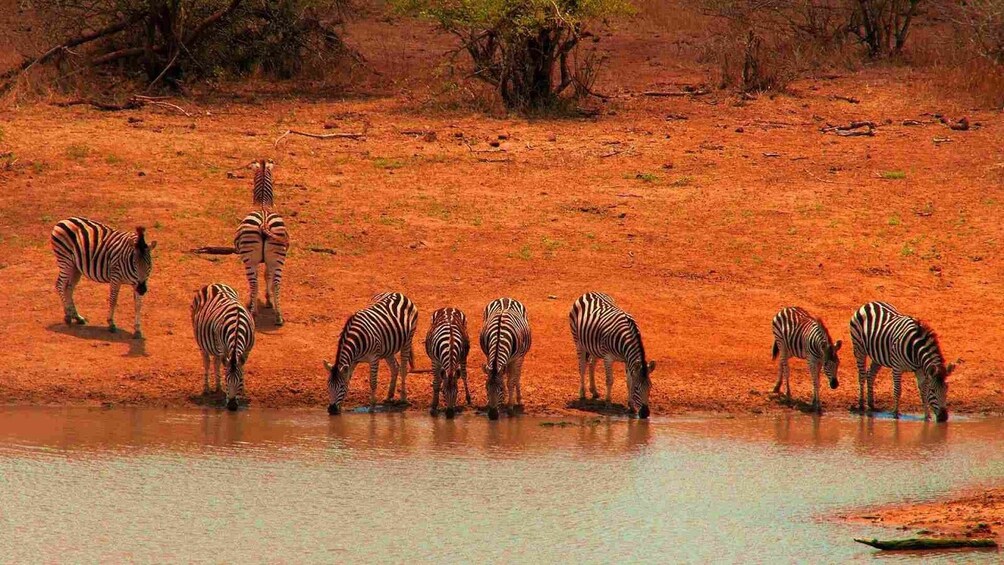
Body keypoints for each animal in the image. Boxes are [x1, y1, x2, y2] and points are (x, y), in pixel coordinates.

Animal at [191, 283, 256, 411]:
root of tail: (214, 283)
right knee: (208, 363)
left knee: (216, 362)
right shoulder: (223, 347)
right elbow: (221, 367)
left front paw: (243, 390)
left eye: (240, 380)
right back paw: (208, 389)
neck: (237, 325)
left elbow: (242, 367)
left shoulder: (247, 350)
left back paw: (217, 387)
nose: (232, 406)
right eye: (226, 379)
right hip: (202, 343)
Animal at [235, 159, 289, 326]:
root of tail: (264, 222)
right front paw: (268, 300)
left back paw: (253, 312)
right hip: (278, 258)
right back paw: (278, 316)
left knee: (253, 282)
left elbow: (258, 280)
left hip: (249, 259)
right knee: (277, 283)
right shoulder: (269, 261)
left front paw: (253, 303)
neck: (263, 203)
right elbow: (267, 276)